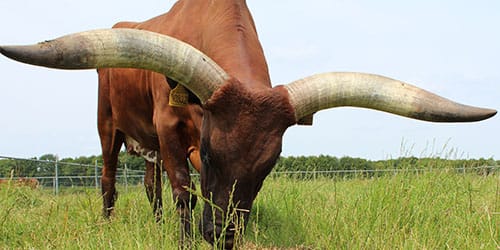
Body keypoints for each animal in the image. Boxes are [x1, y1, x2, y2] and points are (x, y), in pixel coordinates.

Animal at [0, 0, 494, 248]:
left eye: (269, 164)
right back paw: (108, 224)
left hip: (146, 146)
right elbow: (185, 192)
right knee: (109, 177)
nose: (220, 236)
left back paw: (157, 224)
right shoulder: (169, 128)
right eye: (210, 150)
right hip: (109, 125)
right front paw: (184, 241)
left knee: (149, 183)